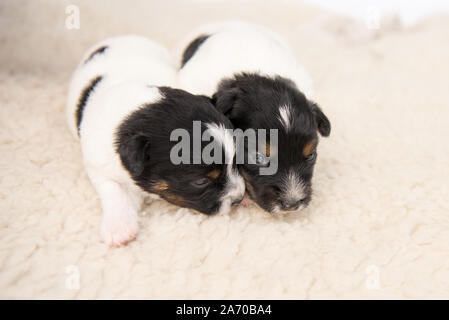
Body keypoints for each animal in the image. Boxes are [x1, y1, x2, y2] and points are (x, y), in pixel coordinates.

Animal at [65, 35, 245, 245]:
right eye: (200, 182)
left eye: (236, 162)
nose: (239, 199)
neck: (136, 111)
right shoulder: (98, 164)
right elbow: (114, 189)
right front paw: (119, 228)